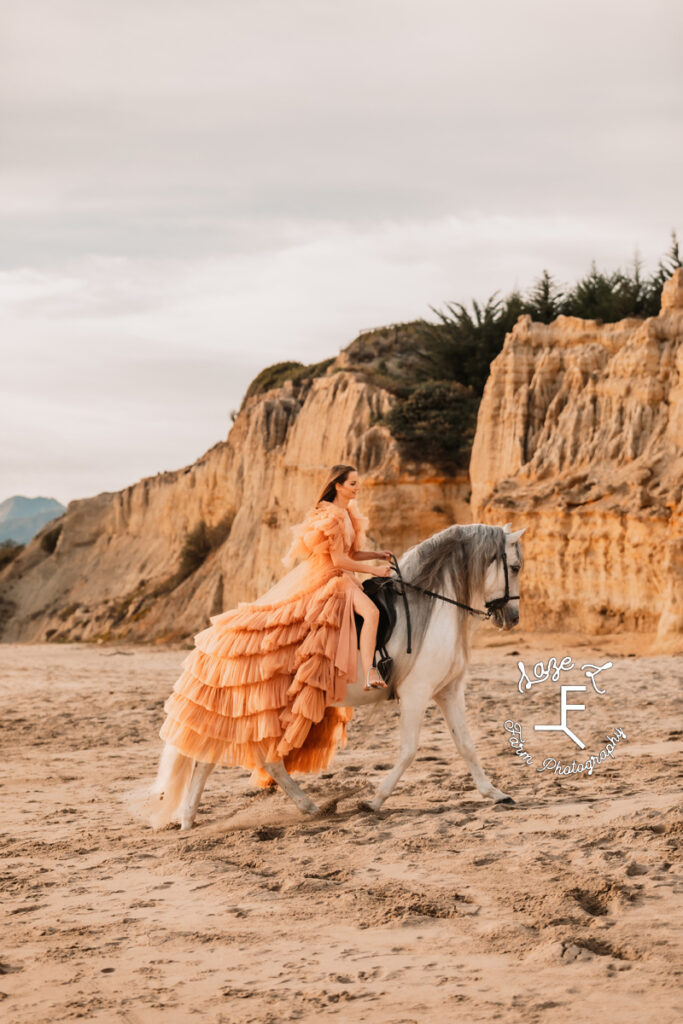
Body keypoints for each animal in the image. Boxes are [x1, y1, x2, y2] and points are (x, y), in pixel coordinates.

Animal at [150, 524, 524, 827]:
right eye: (515, 567)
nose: (513, 617)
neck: (433, 609)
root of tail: (216, 633)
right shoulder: (417, 693)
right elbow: (408, 751)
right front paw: (373, 801)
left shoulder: (447, 691)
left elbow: (466, 745)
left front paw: (496, 793)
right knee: (217, 760)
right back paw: (191, 819)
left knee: (261, 760)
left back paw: (304, 807)